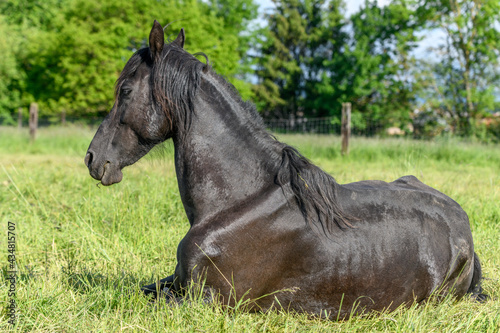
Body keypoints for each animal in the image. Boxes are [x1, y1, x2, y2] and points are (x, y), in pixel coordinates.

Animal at [85, 20, 484, 316]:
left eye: (125, 90)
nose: (91, 158)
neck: (238, 202)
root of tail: (463, 224)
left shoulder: (203, 302)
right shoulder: (175, 282)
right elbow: (138, 289)